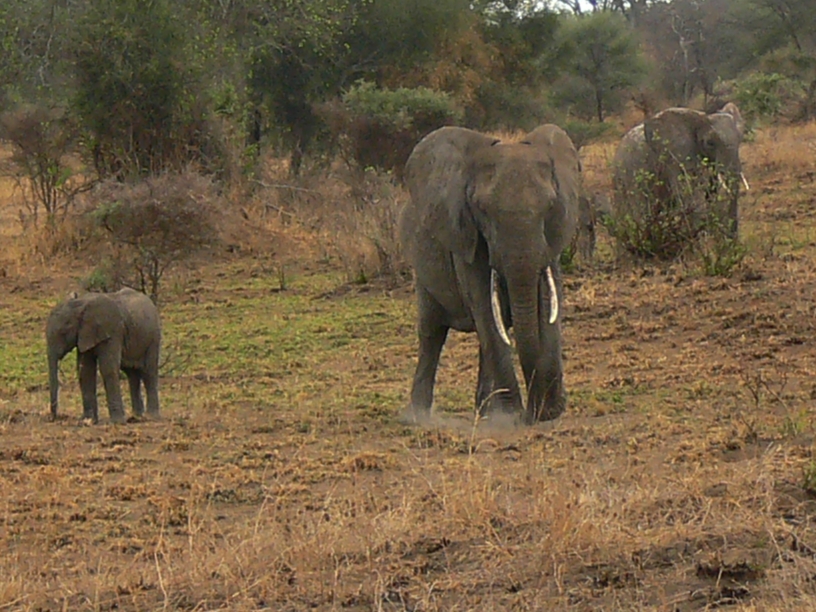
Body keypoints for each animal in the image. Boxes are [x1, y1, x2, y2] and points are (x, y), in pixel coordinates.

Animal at [46, 288, 161, 424]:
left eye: (63, 332)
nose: (53, 418)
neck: (80, 304)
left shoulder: (112, 332)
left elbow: (108, 368)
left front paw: (117, 422)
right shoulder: (84, 334)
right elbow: (85, 372)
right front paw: (87, 420)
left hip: (153, 338)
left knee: (149, 372)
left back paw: (151, 417)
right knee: (132, 374)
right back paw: (136, 417)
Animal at [399, 124, 581, 425]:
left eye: (550, 206)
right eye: (483, 210)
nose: (534, 413)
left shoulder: (550, 240)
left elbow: (548, 304)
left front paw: (550, 412)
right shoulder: (466, 237)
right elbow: (485, 303)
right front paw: (509, 416)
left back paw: (483, 412)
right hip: (421, 267)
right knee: (432, 331)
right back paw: (419, 416)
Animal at [611, 103, 746, 258]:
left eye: (740, 139)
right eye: (710, 143)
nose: (733, 246)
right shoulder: (675, 159)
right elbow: (690, 196)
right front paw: (700, 251)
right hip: (624, 179)